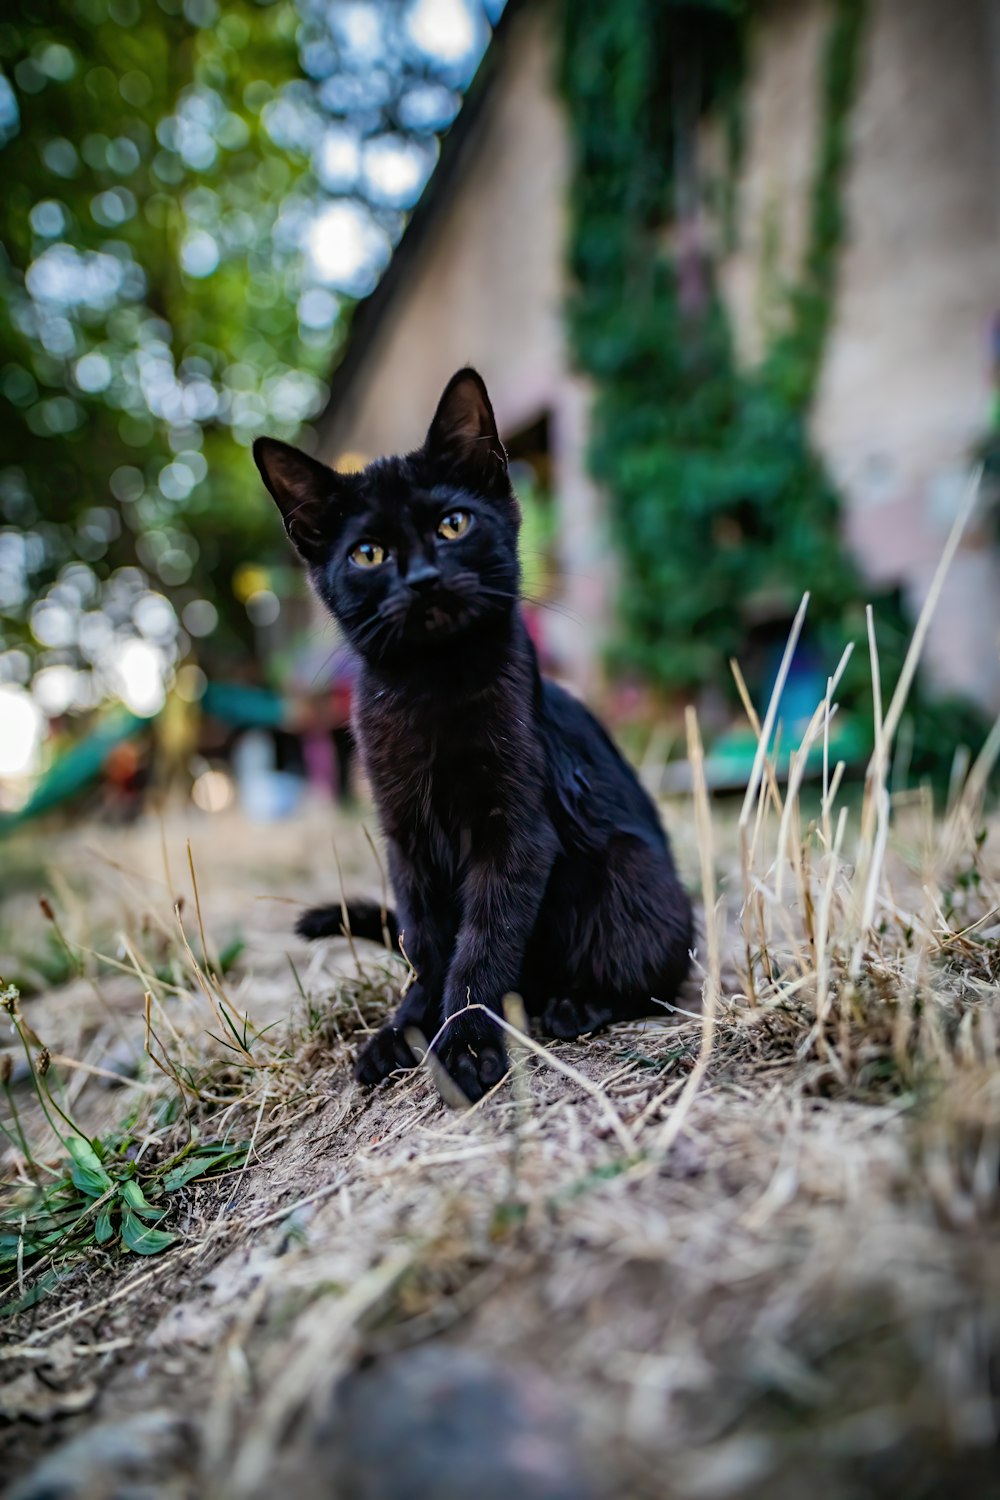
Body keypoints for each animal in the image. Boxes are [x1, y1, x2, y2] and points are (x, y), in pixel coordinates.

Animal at [250, 367, 692, 1104]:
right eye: (368, 553)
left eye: (452, 524)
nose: (424, 578)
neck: (431, 688)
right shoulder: (405, 840)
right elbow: (428, 944)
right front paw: (405, 1028)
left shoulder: (515, 832)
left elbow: (482, 946)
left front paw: (464, 1044)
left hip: (633, 869)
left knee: (654, 972)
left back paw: (574, 1004)